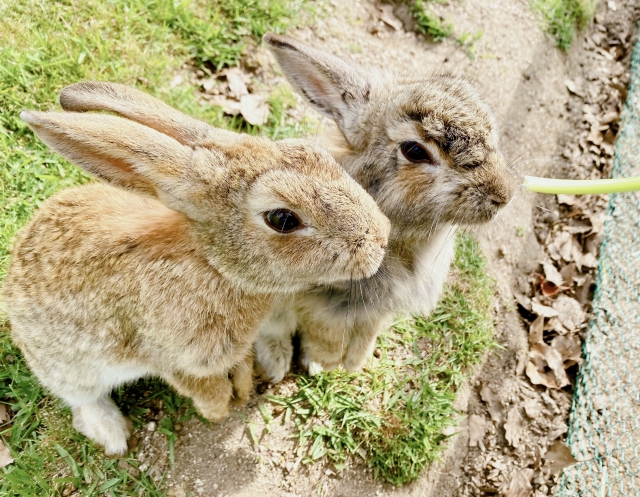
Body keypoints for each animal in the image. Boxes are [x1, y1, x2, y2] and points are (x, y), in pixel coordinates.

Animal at [3, 81, 390, 455]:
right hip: (69, 368)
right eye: (282, 219)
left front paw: (244, 391)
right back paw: (112, 435)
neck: (214, 265)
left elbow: (241, 367)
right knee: (82, 399)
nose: (382, 238)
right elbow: (207, 390)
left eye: (317, 154)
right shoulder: (173, 357)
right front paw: (220, 412)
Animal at [255, 34, 516, 382]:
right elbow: (323, 333)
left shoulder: (374, 311)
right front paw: (324, 364)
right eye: (414, 151)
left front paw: (354, 362)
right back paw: (277, 363)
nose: (504, 195)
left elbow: (366, 332)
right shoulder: (318, 300)